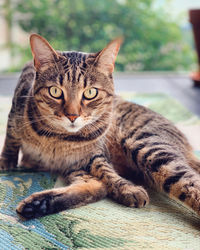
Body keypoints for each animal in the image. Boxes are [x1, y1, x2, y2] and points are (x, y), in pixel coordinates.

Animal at [0, 34, 200, 219]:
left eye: (90, 93)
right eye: (55, 91)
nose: (72, 115)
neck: (57, 138)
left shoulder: (93, 154)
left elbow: (106, 172)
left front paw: (126, 188)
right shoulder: (17, 103)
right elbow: (11, 138)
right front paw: (6, 162)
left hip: (146, 146)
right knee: (95, 186)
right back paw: (38, 204)